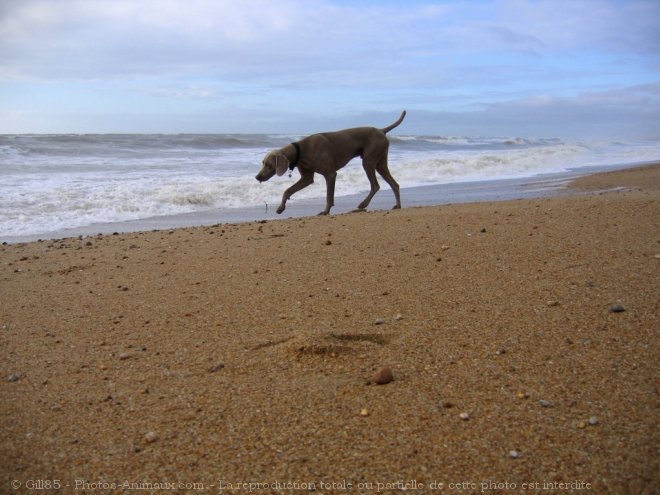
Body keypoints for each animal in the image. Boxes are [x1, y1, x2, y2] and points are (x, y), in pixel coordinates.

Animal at [255, 110, 404, 215]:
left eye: (269, 165)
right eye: (263, 163)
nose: (257, 177)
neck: (300, 150)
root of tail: (381, 130)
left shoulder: (331, 174)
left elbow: (328, 196)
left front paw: (326, 211)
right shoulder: (307, 178)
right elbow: (287, 190)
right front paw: (281, 207)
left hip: (368, 161)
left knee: (375, 185)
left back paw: (363, 204)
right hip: (380, 163)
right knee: (394, 184)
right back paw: (397, 205)